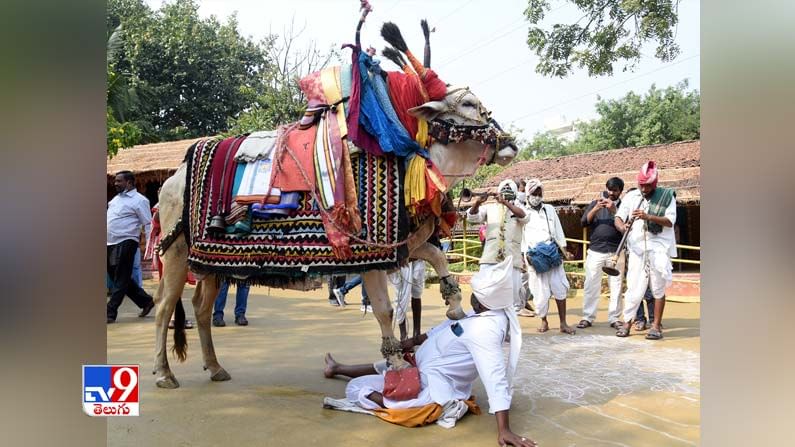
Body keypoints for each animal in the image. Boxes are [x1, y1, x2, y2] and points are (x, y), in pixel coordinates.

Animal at [152, 9, 520, 392]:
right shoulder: (372, 257)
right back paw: (164, 372)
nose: (510, 143)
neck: (406, 159)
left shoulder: (406, 246)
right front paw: (397, 364)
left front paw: (455, 309)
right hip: (176, 254)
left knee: (200, 306)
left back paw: (214, 366)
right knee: (164, 306)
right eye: (467, 104)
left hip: (209, 263)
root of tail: (174, 177)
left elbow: (439, 260)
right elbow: (385, 310)